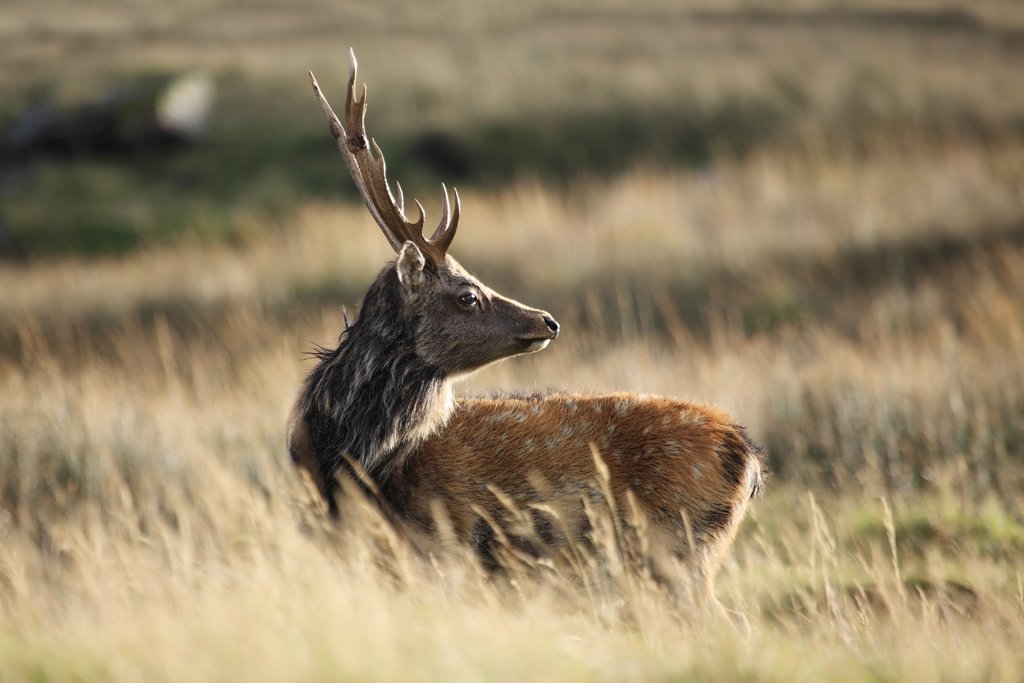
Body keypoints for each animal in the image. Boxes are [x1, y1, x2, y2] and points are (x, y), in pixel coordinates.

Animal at [288, 52, 761, 602]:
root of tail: (747, 456)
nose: (547, 320)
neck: (354, 463)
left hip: (677, 549)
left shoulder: (444, 541)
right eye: (468, 295)